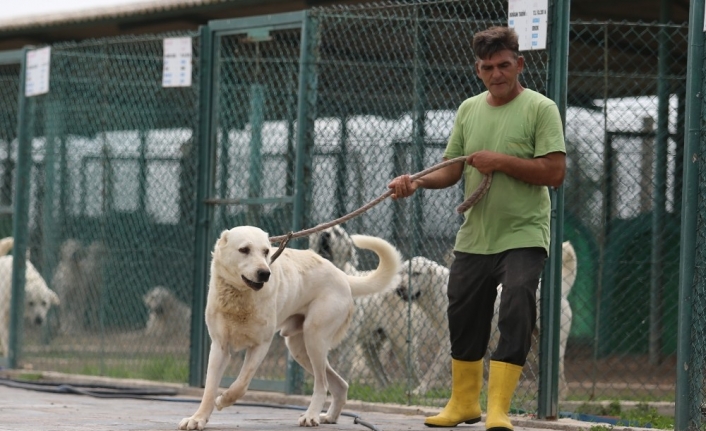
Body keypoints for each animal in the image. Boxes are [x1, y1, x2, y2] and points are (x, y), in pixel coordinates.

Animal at [179, 228, 398, 430]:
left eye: (266, 251)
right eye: (244, 250)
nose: (265, 273)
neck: (240, 298)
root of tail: (343, 275)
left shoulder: (260, 345)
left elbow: (241, 384)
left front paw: (223, 400)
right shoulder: (220, 347)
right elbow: (209, 389)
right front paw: (198, 419)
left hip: (314, 338)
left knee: (322, 384)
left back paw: (311, 416)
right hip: (299, 348)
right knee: (339, 384)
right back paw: (329, 417)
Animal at [306, 226, 420, 388]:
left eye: (337, 233)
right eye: (317, 230)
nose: (325, 235)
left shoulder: (347, 344)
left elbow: (340, 370)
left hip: (402, 346)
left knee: (414, 373)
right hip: (370, 349)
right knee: (383, 377)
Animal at [398, 240, 576, 398]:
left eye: (416, 273)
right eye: (402, 273)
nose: (399, 289)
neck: (435, 291)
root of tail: (561, 291)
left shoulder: (450, 340)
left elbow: (433, 370)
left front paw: (419, 390)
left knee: (560, 378)